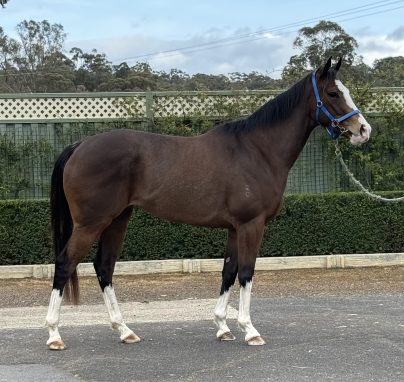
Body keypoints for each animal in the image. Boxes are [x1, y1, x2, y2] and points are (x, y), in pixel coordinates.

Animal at [45, 56, 372, 350]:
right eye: (333, 93)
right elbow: (246, 272)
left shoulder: (234, 228)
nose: (363, 130)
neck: (257, 150)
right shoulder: (251, 225)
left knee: (104, 267)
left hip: (117, 219)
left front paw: (223, 327)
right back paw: (54, 334)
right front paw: (250, 330)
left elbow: (228, 271)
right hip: (91, 223)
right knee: (64, 263)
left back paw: (125, 331)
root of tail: (80, 146)